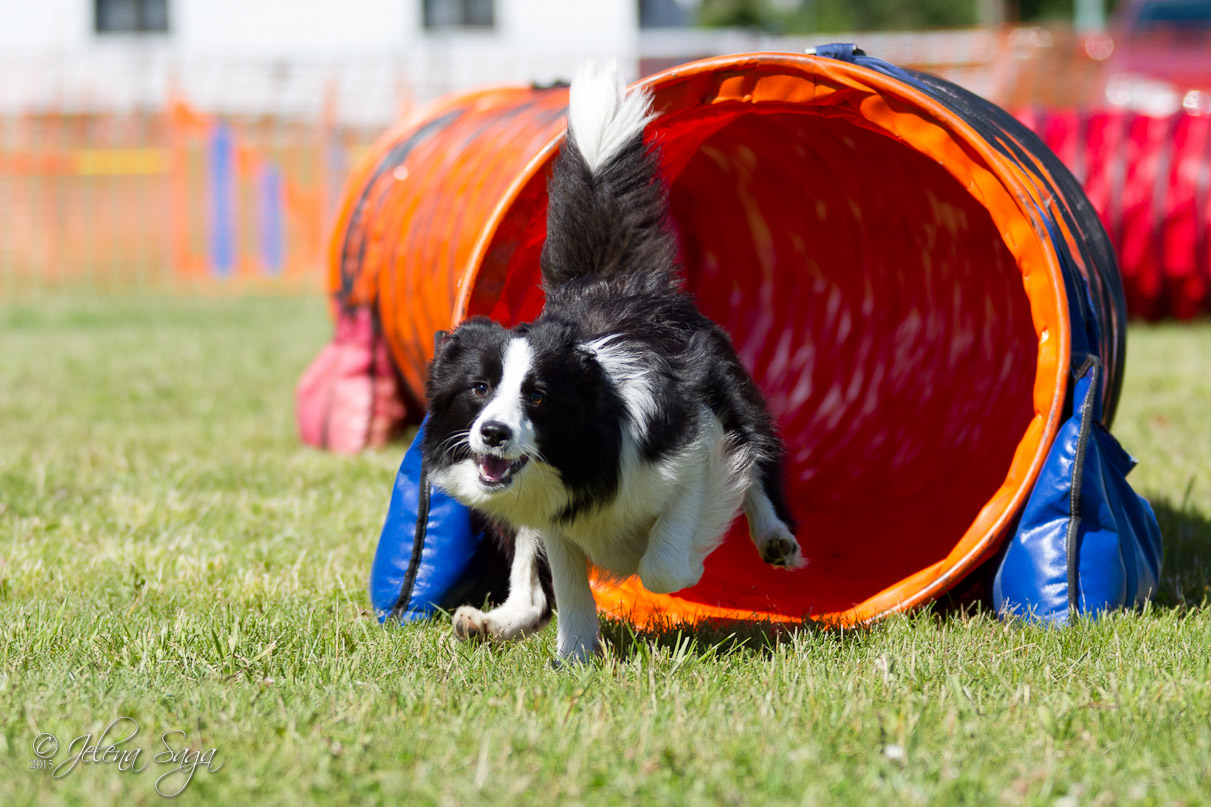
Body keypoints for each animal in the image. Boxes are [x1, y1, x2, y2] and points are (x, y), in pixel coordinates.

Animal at [421, 63, 799, 659]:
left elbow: (666, 561)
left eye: (537, 396)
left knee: (757, 460)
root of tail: (612, 280)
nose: (494, 434)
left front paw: (690, 569)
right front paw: (574, 659)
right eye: (479, 388)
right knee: (531, 586)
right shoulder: (552, 515)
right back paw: (490, 622)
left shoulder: (693, 447)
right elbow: (570, 587)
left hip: (731, 390)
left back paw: (776, 538)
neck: (583, 452)